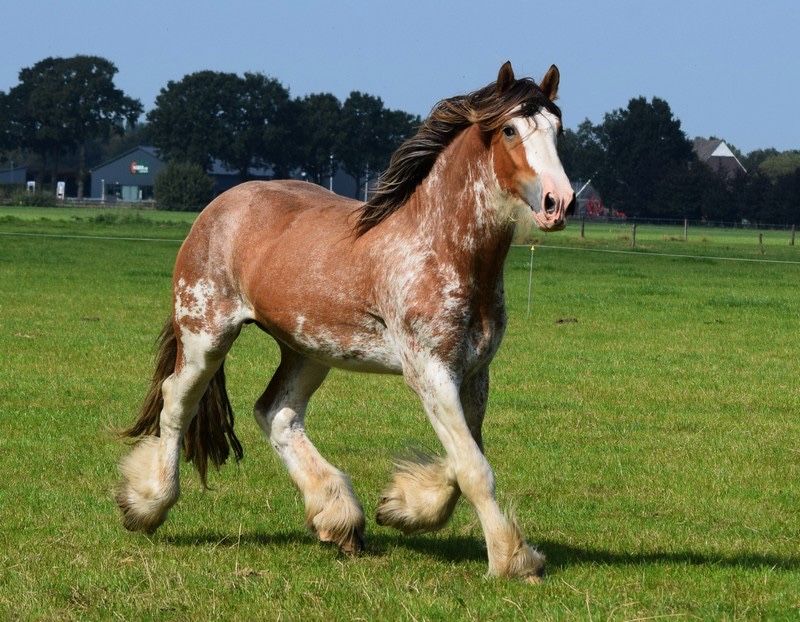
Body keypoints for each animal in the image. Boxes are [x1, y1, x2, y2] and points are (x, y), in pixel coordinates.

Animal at [115, 61, 572, 584]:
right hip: (205, 335)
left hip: (308, 349)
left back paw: (337, 519)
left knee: (278, 414)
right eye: (511, 130)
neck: (442, 247)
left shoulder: (474, 373)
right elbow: (474, 469)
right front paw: (512, 559)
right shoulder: (430, 371)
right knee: (177, 403)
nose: (559, 203)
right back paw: (146, 505)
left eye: (558, 129)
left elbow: (462, 460)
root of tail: (218, 206)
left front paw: (403, 507)